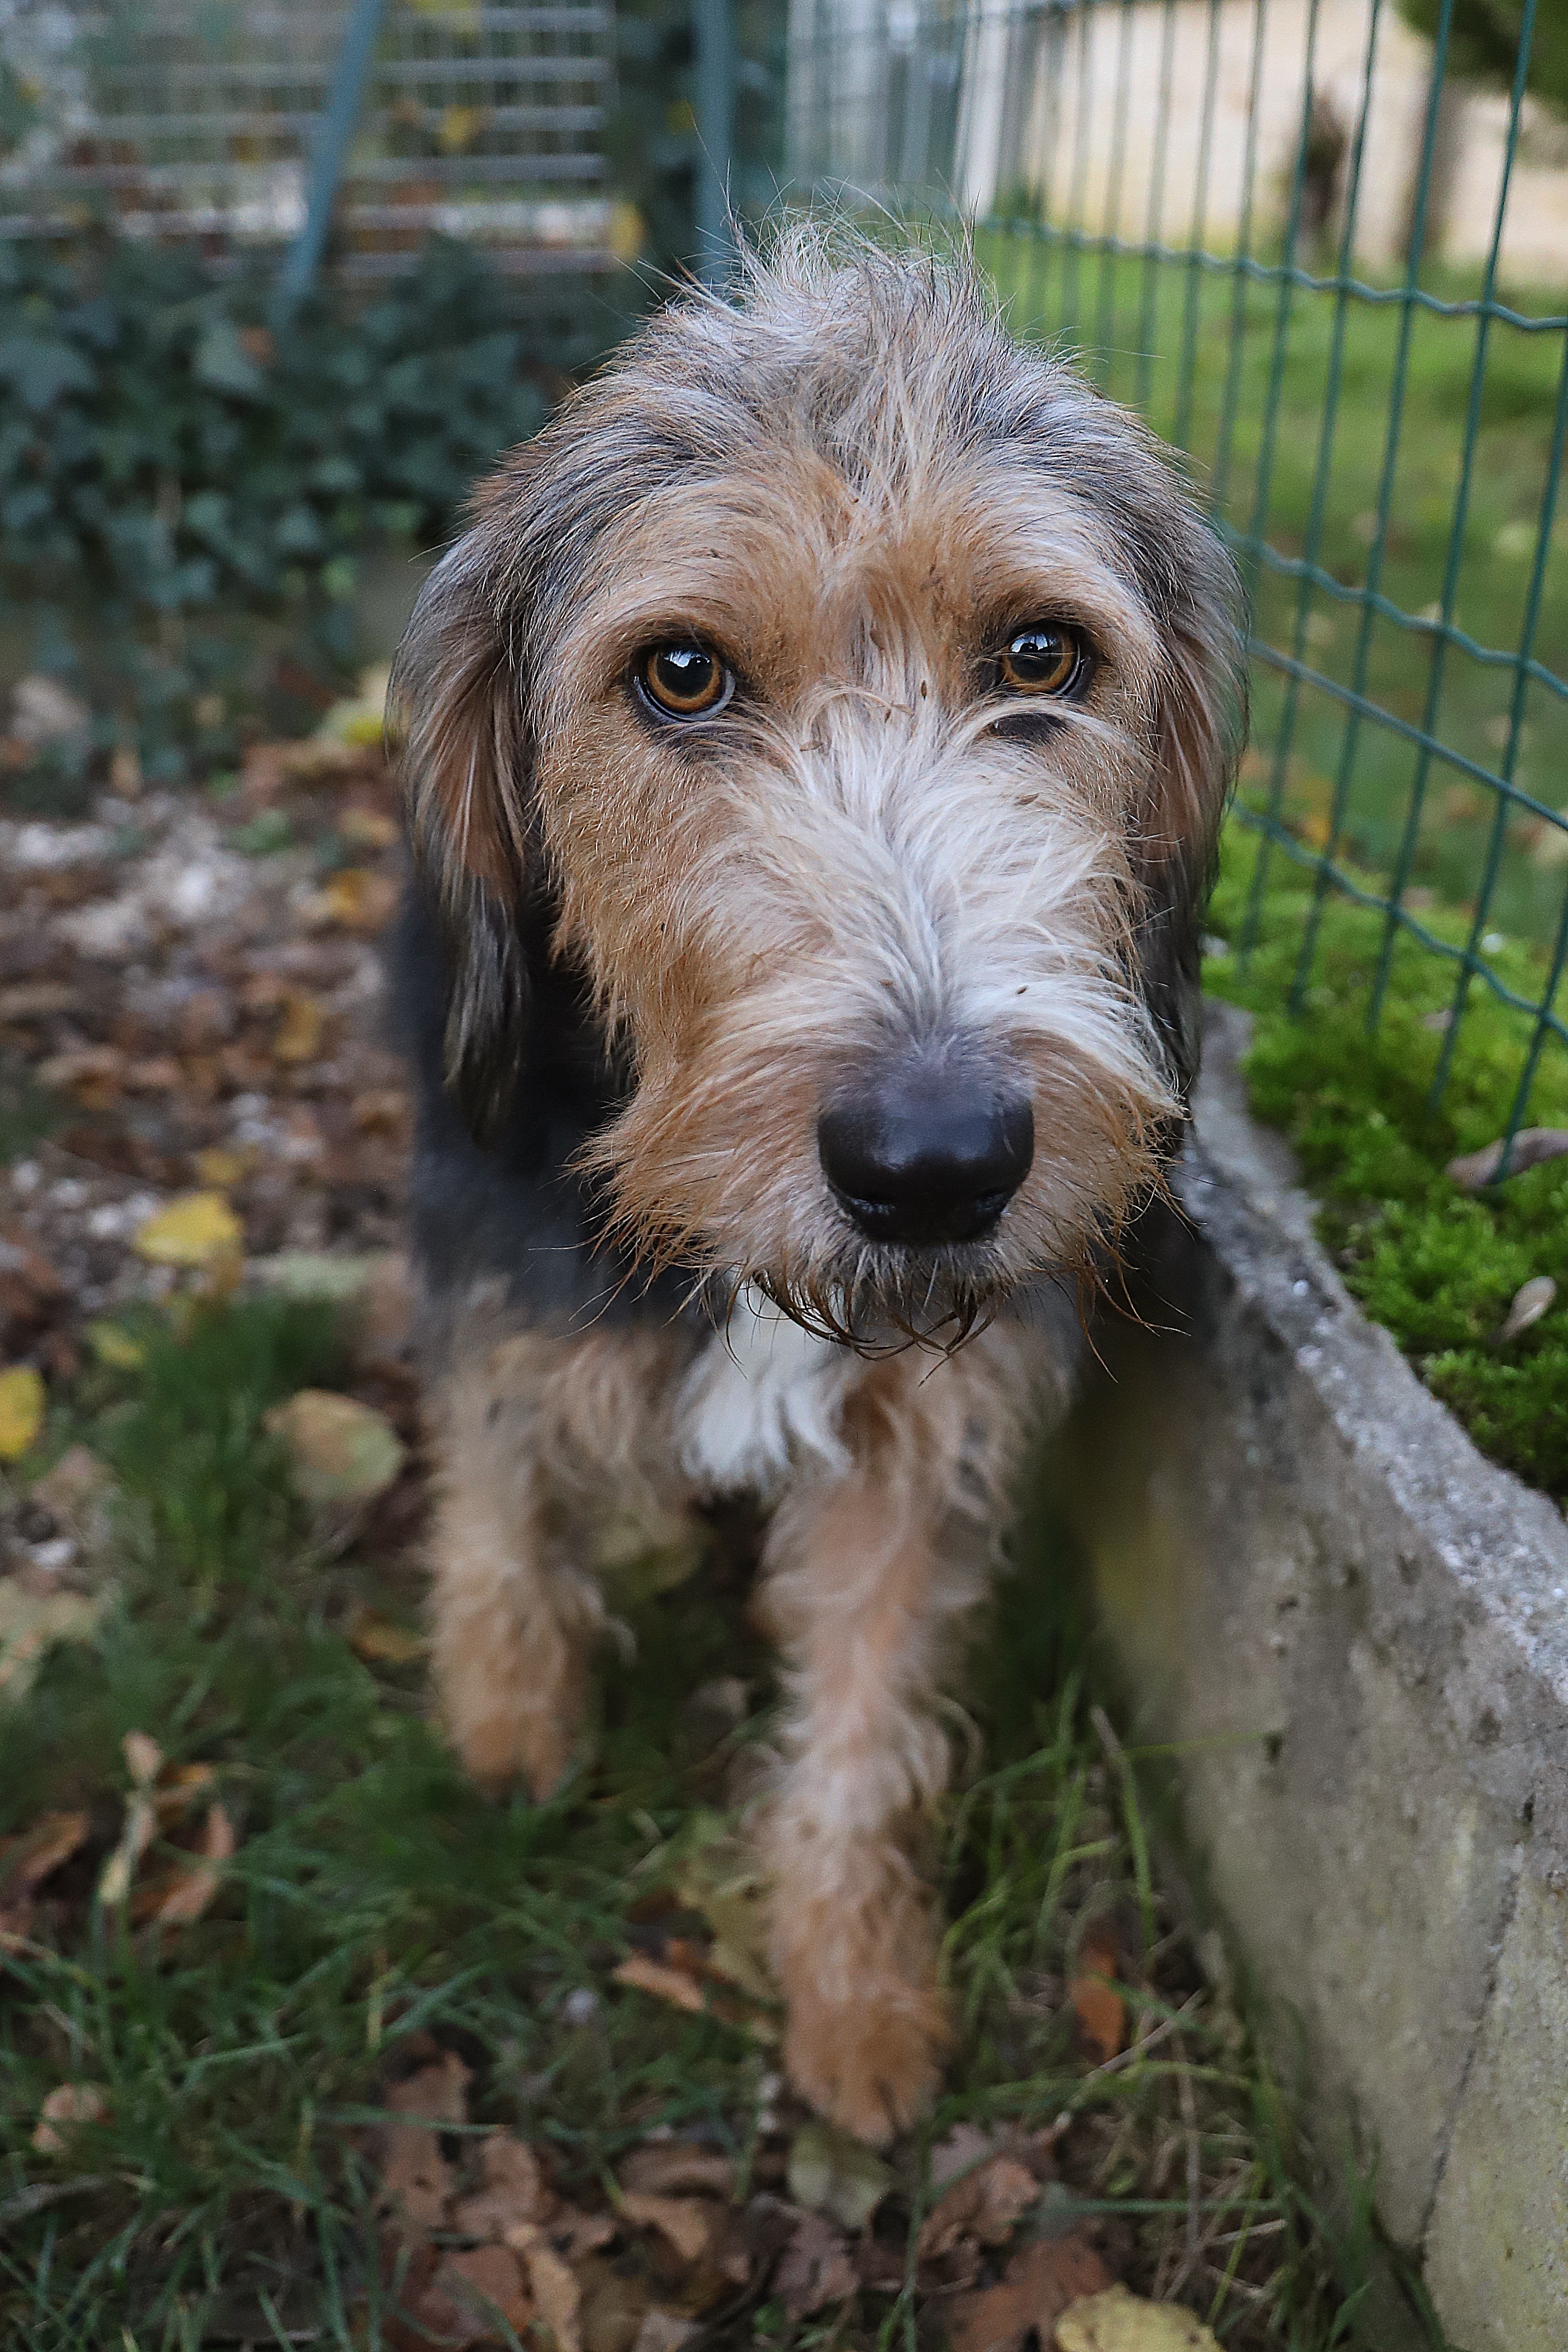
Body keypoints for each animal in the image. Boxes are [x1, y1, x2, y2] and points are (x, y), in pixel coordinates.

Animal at [395, 229, 1250, 2145]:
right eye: (681, 675)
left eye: (1039, 652)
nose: (934, 1166)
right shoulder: (496, 1264)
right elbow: (496, 1495)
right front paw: (508, 1717)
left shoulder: (926, 1445)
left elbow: (867, 1729)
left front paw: (856, 1998)